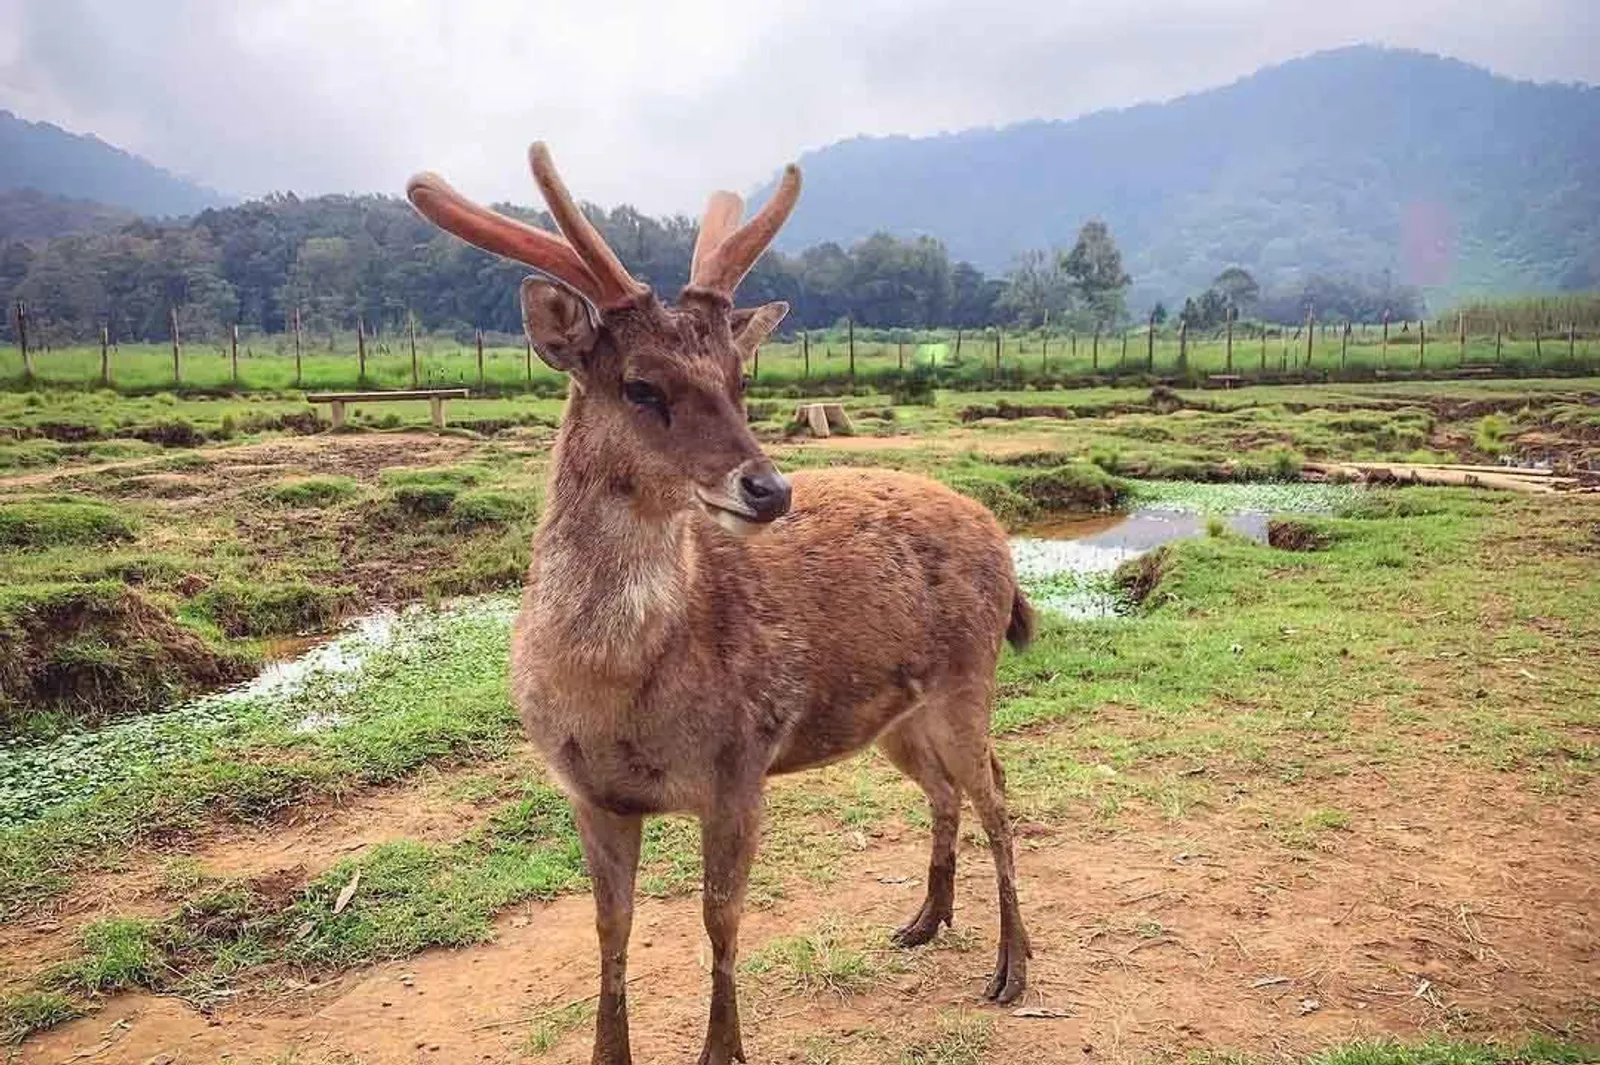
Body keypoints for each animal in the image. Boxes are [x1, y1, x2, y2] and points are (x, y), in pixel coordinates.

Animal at [406, 143, 1036, 1061]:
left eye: (742, 380)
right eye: (640, 385)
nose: (770, 489)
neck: (616, 700)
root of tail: (999, 534)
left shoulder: (741, 760)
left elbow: (720, 919)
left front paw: (723, 1048)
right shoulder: (587, 792)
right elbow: (611, 931)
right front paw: (610, 1050)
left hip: (969, 677)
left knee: (995, 785)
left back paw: (1013, 967)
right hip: (894, 716)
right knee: (946, 789)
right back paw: (925, 918)